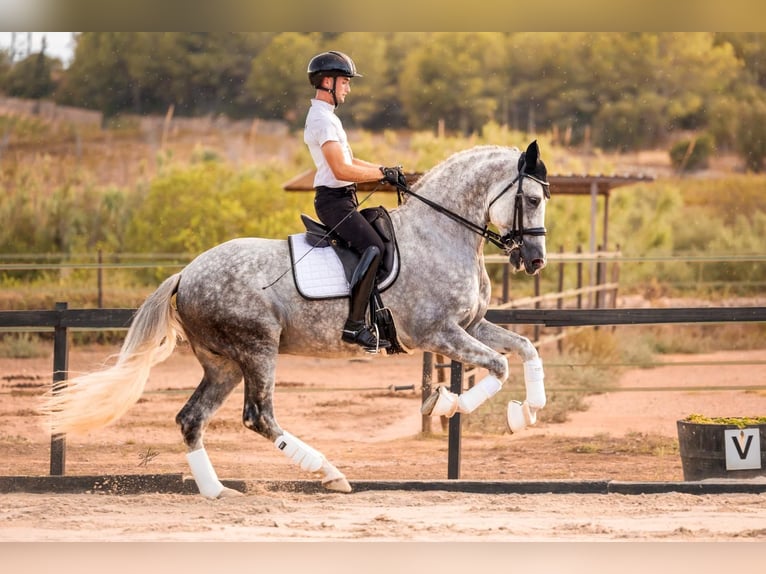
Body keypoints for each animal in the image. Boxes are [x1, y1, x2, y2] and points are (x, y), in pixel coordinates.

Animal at [43, 142, 552, 498]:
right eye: (530, 199)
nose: (534, 260)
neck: (440, 233)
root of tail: (185, 275)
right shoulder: (437, 332)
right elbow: (498, 366)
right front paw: (446, 405)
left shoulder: (471, 325)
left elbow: (526, 349)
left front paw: (526, 411)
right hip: (257, 349)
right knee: (258, 416)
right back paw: (329, 473)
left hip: (223, 363)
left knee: (191, 418)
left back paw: (216, 491)